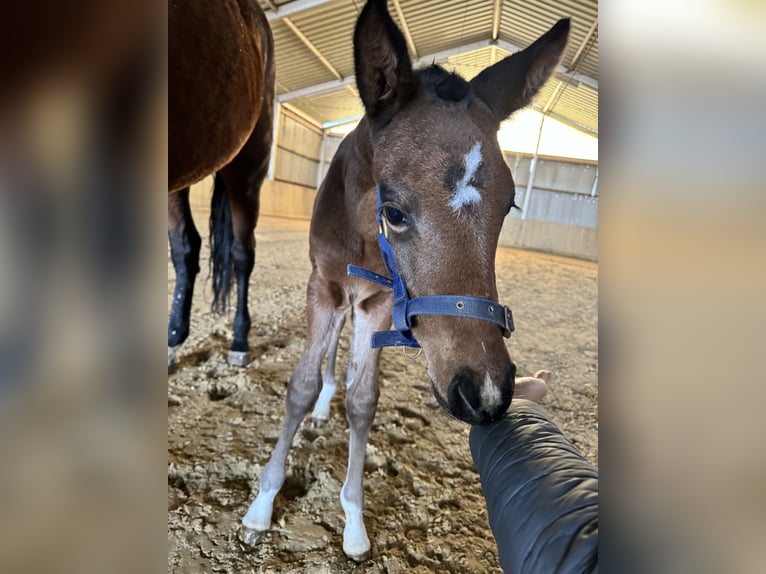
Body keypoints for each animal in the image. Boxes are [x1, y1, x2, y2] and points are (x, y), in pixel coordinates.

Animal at [243, 0, 572, 564]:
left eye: (509, 206)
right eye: (394, 212)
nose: (485, 393)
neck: (362, 235)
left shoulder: (378, 303)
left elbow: (363, 400)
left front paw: (353, 519)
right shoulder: (323, 288)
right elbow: (300, 386)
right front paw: (262, 505)